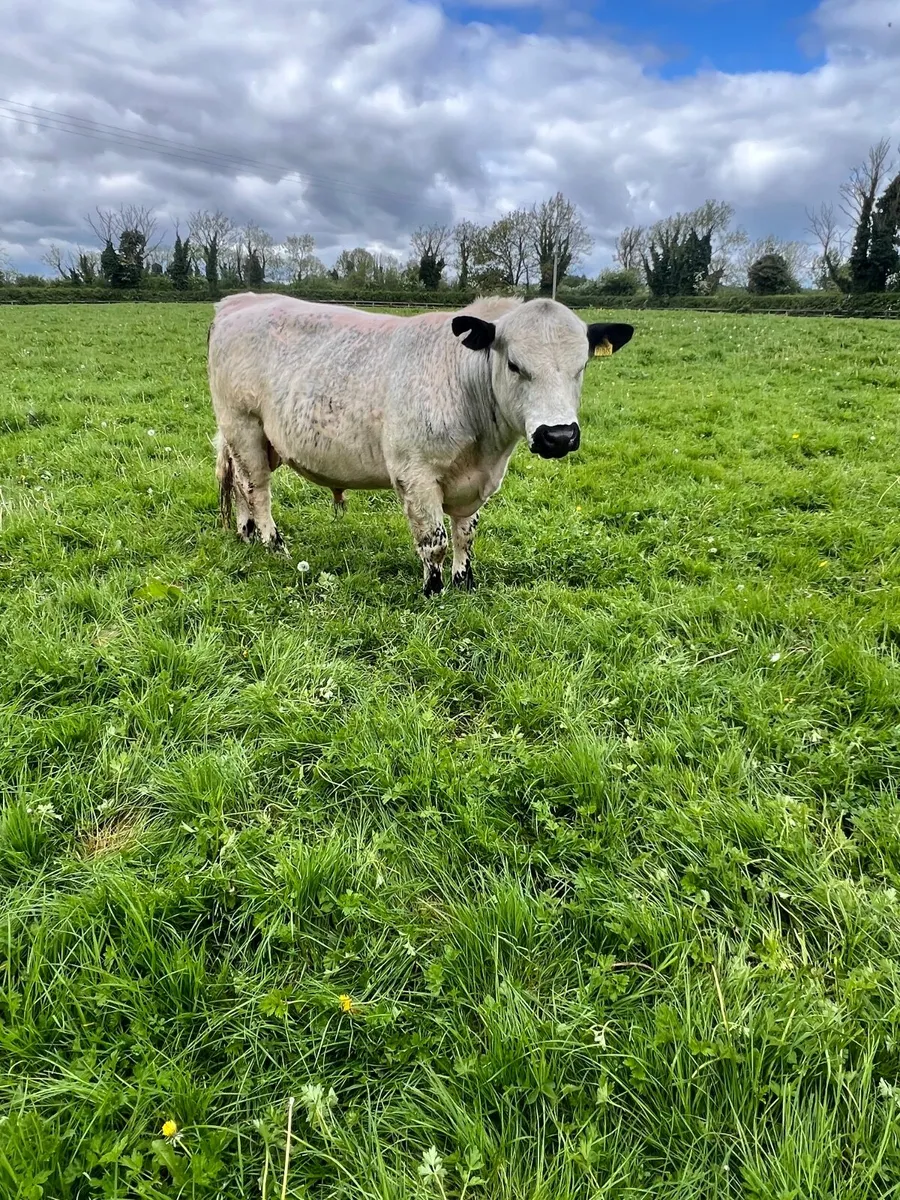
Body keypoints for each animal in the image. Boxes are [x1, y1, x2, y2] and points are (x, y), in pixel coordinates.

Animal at [207, 293, 634, 597]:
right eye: (514, 365)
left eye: (582, 366)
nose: (558, 435)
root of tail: (239, 300)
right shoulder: (414, 474)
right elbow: (435, 541)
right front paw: (433, 589)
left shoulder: (476, 483)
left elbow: (465, 535)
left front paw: (465, 581)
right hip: (243, 425)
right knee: (257, 489)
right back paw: (272, 543)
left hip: (263, 440)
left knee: (242, 485)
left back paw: (246, 533)